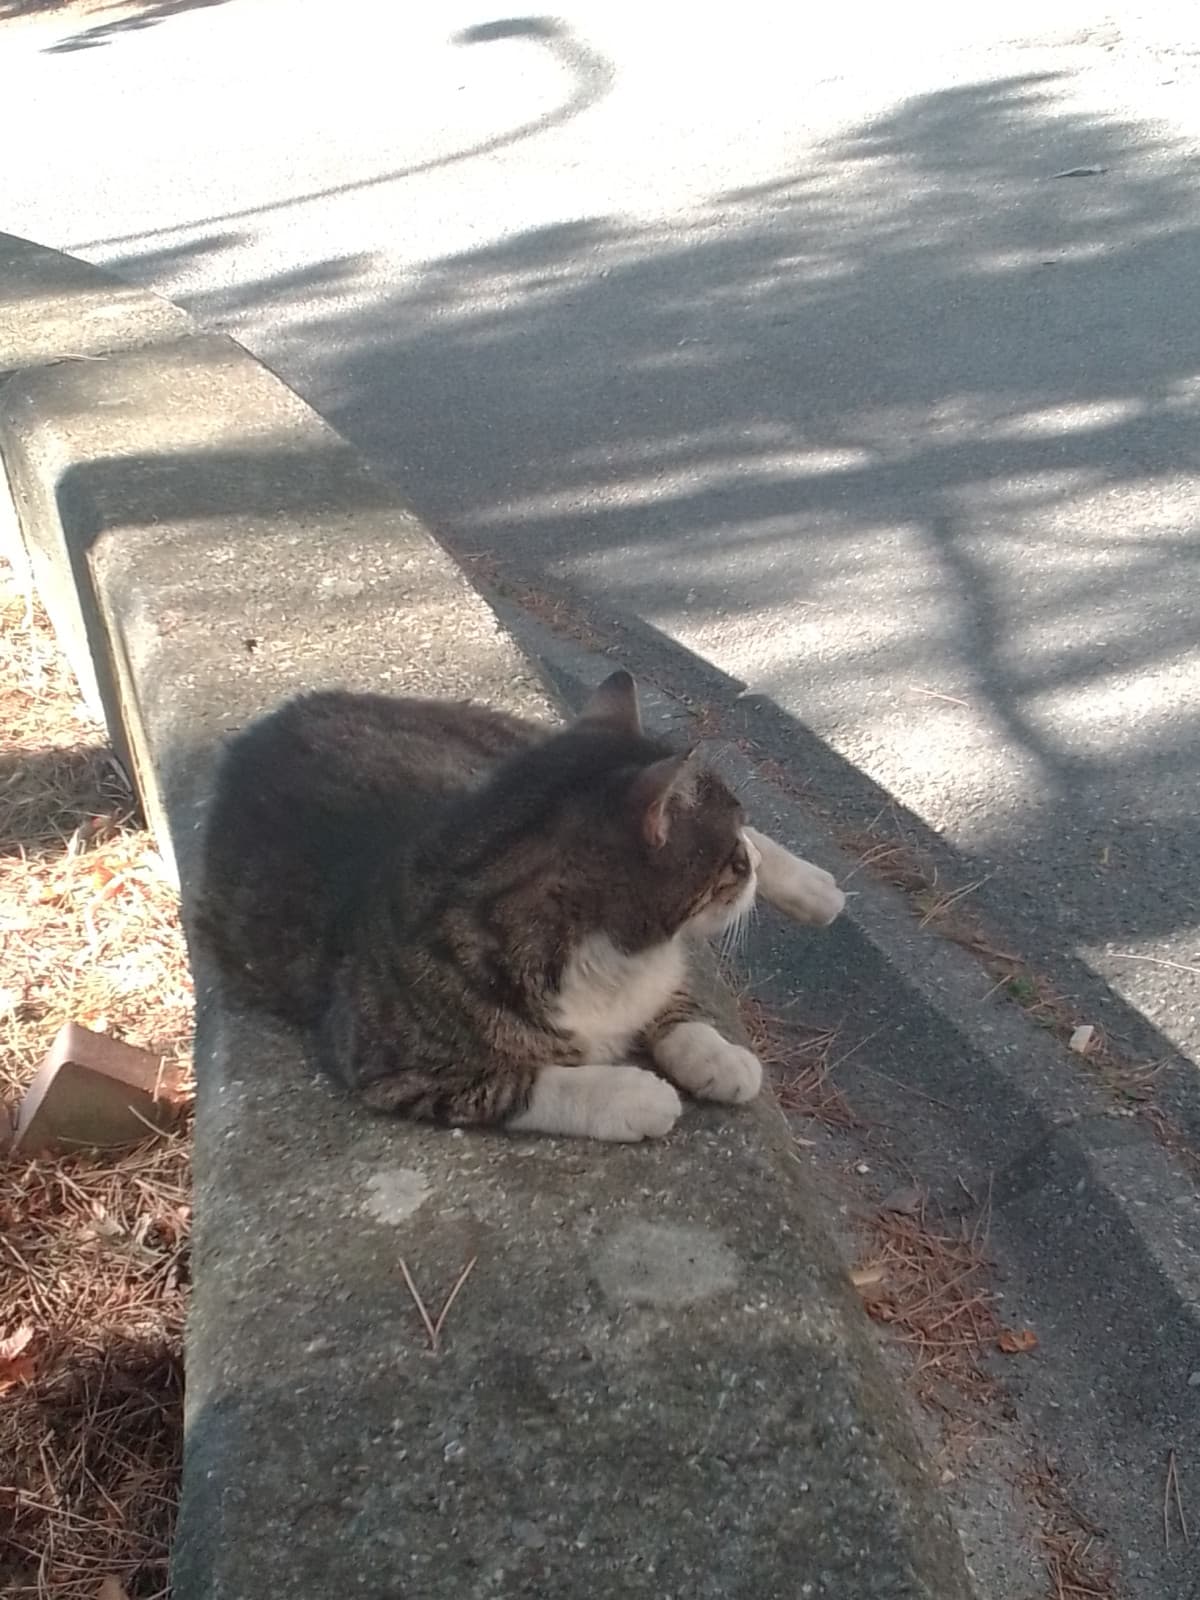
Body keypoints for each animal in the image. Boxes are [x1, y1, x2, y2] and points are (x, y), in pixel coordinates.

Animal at [197, 668, 844, 1145]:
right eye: (728, 864)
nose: (747, 862)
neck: (606, 954)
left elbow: (676, 1007)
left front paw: (720, 1057)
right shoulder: (385, 1060)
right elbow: (520, 1084)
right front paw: (634, 1095)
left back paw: (816, 891)